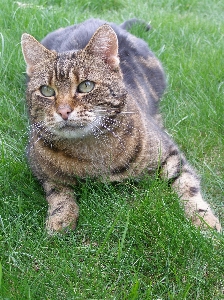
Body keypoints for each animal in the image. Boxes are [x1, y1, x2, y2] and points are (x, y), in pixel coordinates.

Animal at [20, 18, 220, 234]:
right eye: (46, 91)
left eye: (86, 86)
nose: (63, 111)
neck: (89, 151)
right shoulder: (40, 170)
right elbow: (58, 193)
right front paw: (60, 219)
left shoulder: (170, 154)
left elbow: (188, 186)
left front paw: (205, 220)